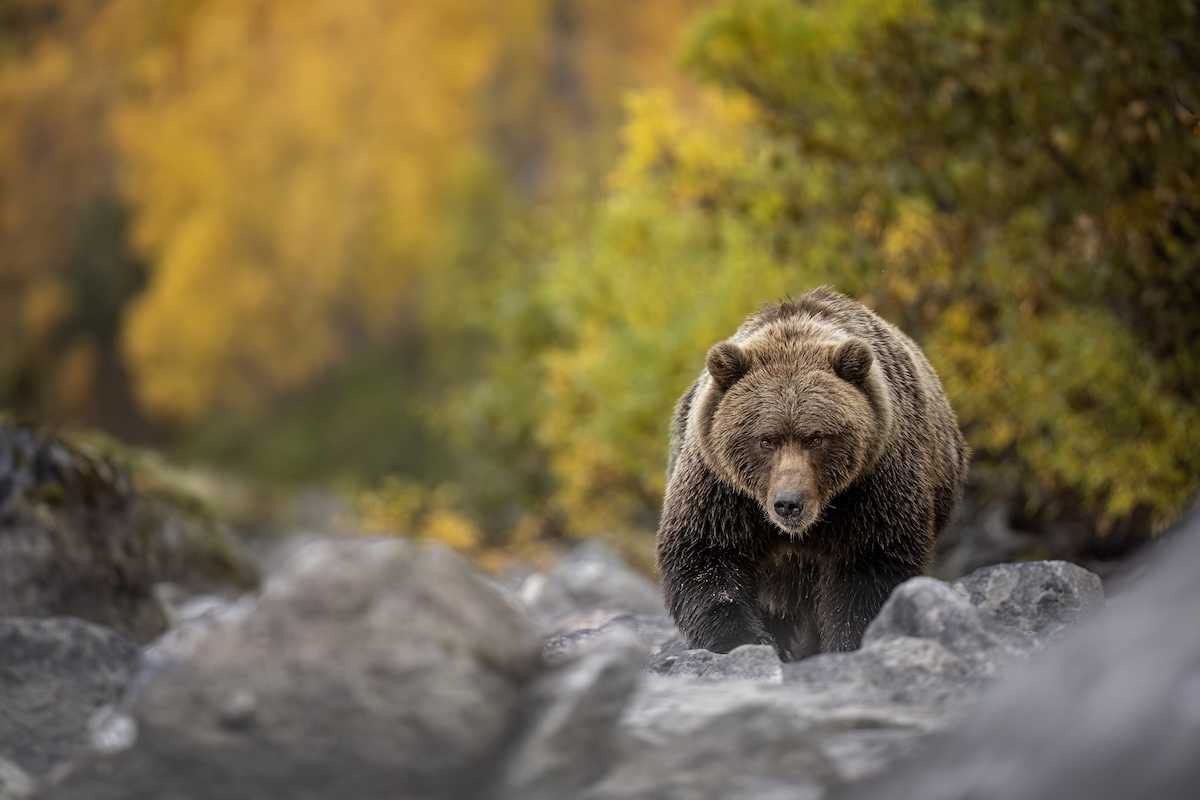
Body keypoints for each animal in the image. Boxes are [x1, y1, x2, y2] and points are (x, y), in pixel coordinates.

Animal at [657, 287, 968, 661]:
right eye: (766, 439)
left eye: (816, 437)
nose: (789, 503)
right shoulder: (721, 487)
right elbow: (705, 556)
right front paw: (746, 641)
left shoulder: (874, 482)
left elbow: (870, 565)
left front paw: (848, 642)